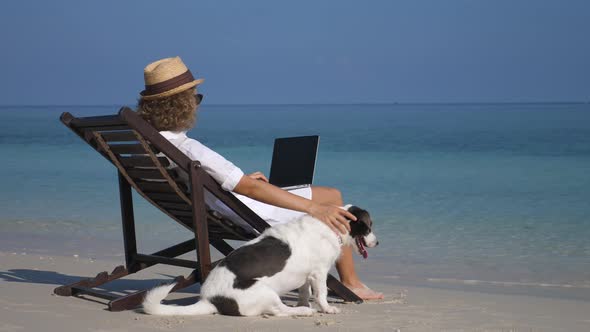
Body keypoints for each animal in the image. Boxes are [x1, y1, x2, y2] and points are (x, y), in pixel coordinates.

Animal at [143, 205, 380, 316]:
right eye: (368, 227)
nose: (377, 242)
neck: (334, 226)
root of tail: (211, 300)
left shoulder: (306, 276)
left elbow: (304, 292)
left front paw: (303, 302)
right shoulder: (319, 273)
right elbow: (321, 294)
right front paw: (325, 308)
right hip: (264, 290)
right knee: (278, 311)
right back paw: (303, 312)